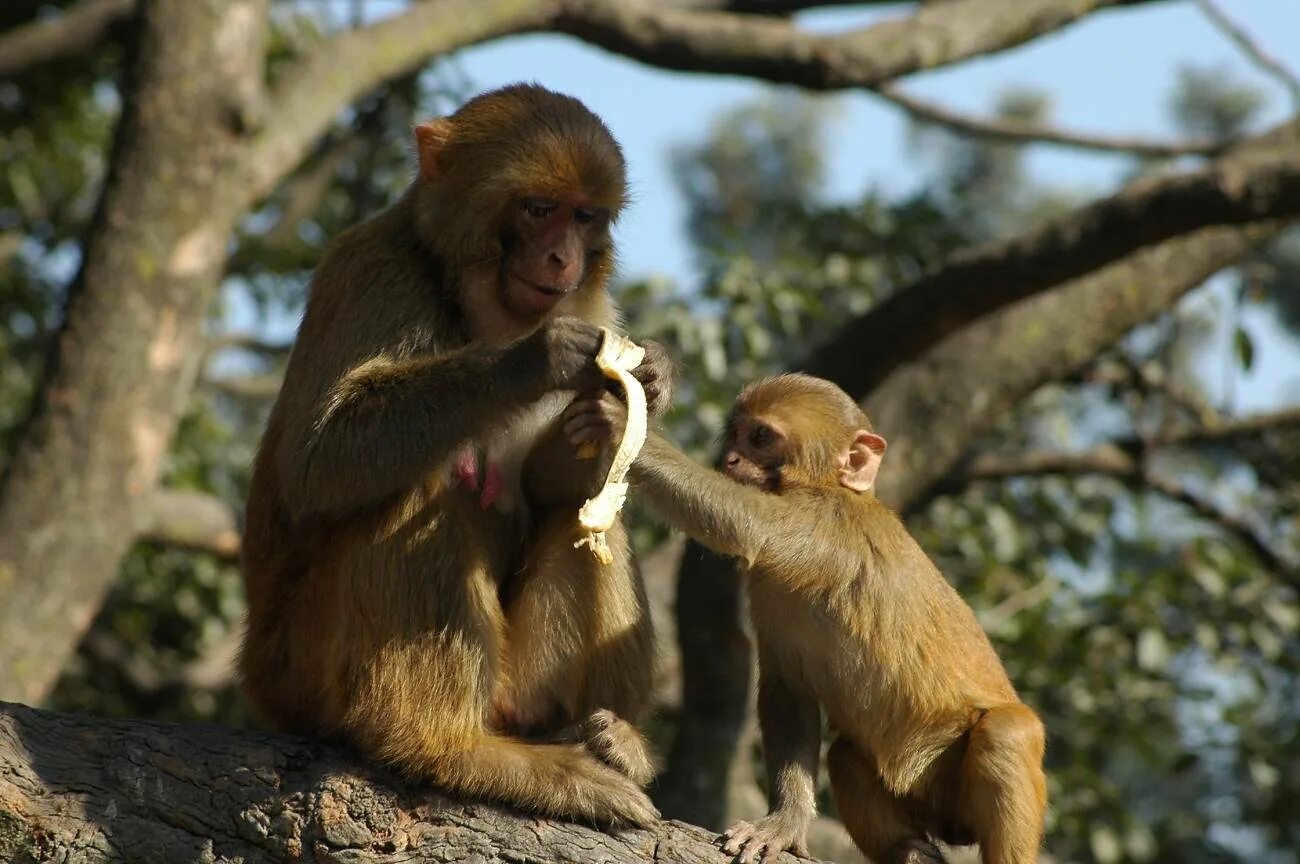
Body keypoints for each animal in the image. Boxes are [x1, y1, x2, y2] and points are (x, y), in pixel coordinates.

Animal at [239, 84, 670, 826]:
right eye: (538, 209)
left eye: (584, 215)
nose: (562, 259)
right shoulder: (372, 270)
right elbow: (317, 460)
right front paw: (537, 357)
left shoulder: (596, 302)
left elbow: (555, 484)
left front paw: (620, 405)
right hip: (301, 670)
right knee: (413, 490)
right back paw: (447, 747)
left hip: (520, 683)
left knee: (589, 517)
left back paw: (612, 741)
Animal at [626, 376, 1045, 862]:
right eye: (733, 435)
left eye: (760, 437)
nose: (729, 459)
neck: (835, 487)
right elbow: (789, 688)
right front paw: (786, 822)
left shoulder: (826, 521)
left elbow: (745, 523)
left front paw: (617, 417)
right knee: (845, 754)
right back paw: (909, 851)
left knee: (1007, 733)